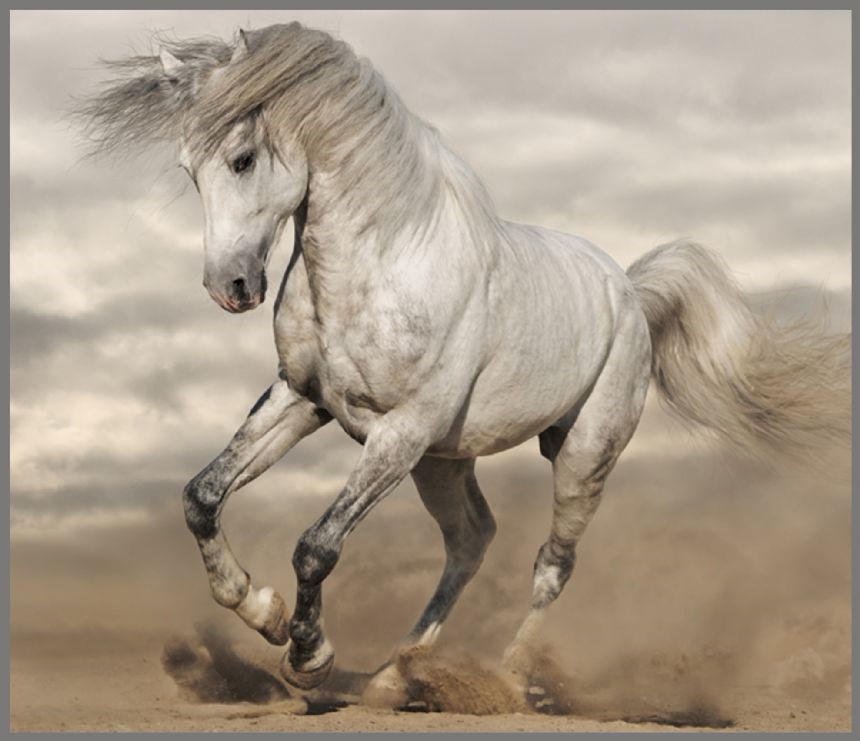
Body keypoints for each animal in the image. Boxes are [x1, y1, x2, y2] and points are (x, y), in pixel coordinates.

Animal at [76, 22, 850, 704]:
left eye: (241, 158)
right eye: (188, 170)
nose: (230, 287)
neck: (379, 265)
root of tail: (630, 290)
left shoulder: (400, 432)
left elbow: (316, 545)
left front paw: (308, 656)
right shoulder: (304, 401)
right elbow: (202, 496)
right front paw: (260, 610)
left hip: (580, 455)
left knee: (551, 565)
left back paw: (506, 678)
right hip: (444, 464)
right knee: (472, 540)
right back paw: (397, 676)